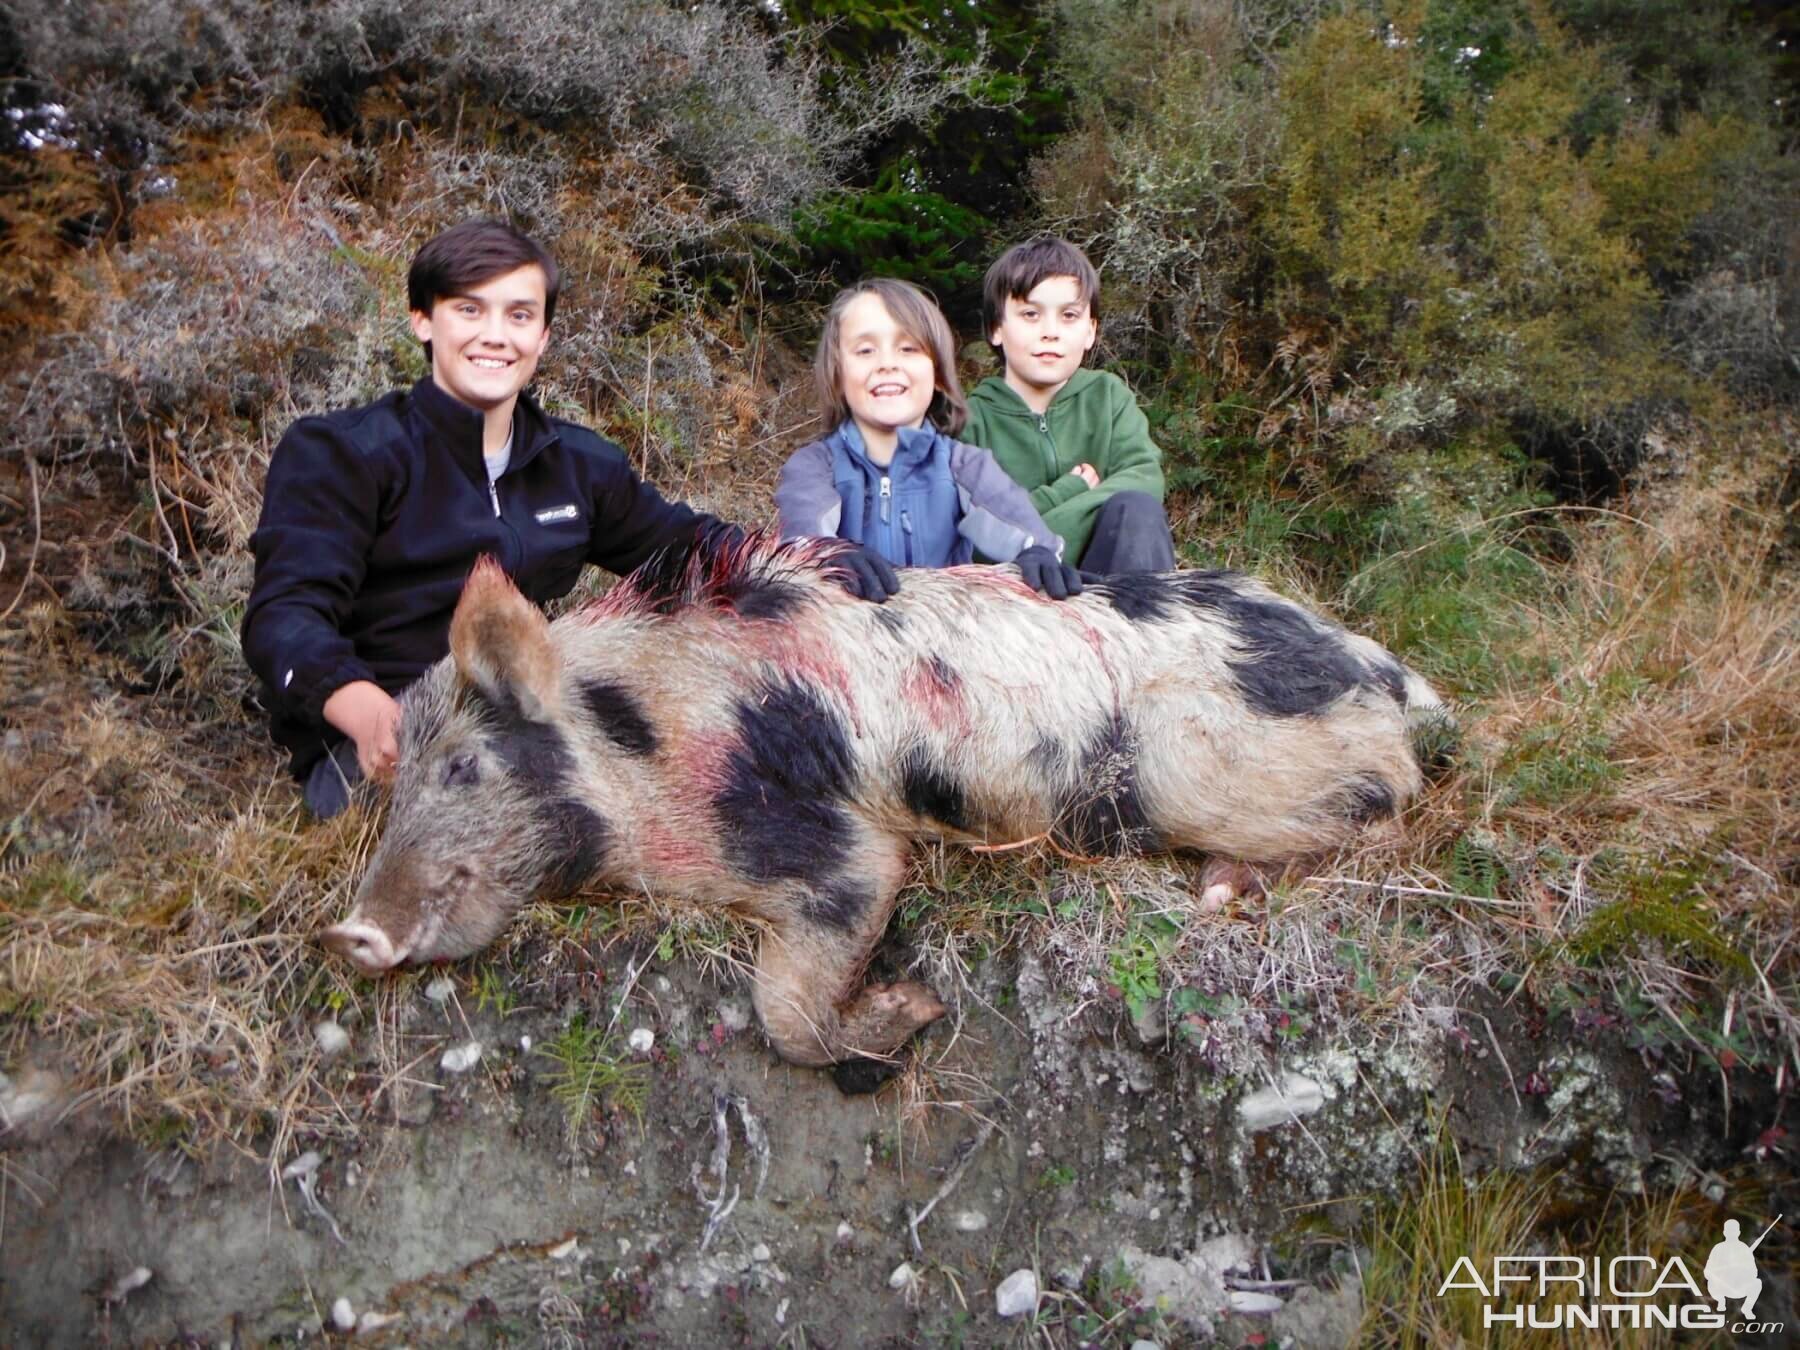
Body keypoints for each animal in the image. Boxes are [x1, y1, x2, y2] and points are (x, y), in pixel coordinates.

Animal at [320, 540, 1447, 1080]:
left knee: (1390, 807)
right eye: (392, 780)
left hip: (1201, 766)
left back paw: (1218, 888)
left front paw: (918, 1011)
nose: (349, 931)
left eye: (464, 766)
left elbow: (786, 1002)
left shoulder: (840, 844)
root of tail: (1379, 666)